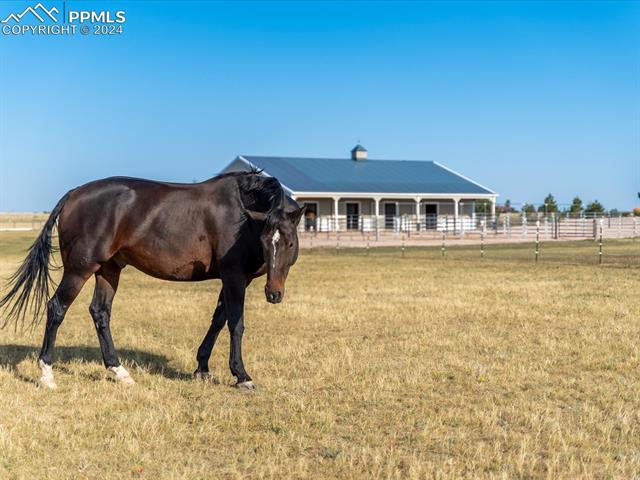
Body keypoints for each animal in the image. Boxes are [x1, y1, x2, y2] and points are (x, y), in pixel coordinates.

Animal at [0, 172, 304, 390]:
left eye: (289, 243)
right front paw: (242, 375)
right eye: (266, 241)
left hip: (108, 270)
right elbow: (235, 324)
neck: (243, 213)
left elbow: (218, 321)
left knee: (100, 312)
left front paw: (202, 367)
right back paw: (47, 375)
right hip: (79, 269)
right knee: (57, 308)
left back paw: (119, 372)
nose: (273, 293)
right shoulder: (234, 277)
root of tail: (74, 193)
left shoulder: (233, 280)